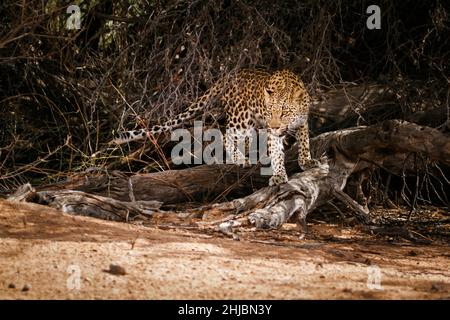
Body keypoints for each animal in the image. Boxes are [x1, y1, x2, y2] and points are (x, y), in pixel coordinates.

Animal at [112, 69, 316, 186]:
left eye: (284, 113)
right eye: (269, 112)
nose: (273, 126)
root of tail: (234, 73)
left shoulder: (302, 121)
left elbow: (304, 142)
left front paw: (306, 161)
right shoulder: (273, 131)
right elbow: (277, 153)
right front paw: (279, 175)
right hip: (241, 118)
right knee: (226, 136)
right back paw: (240, 159)